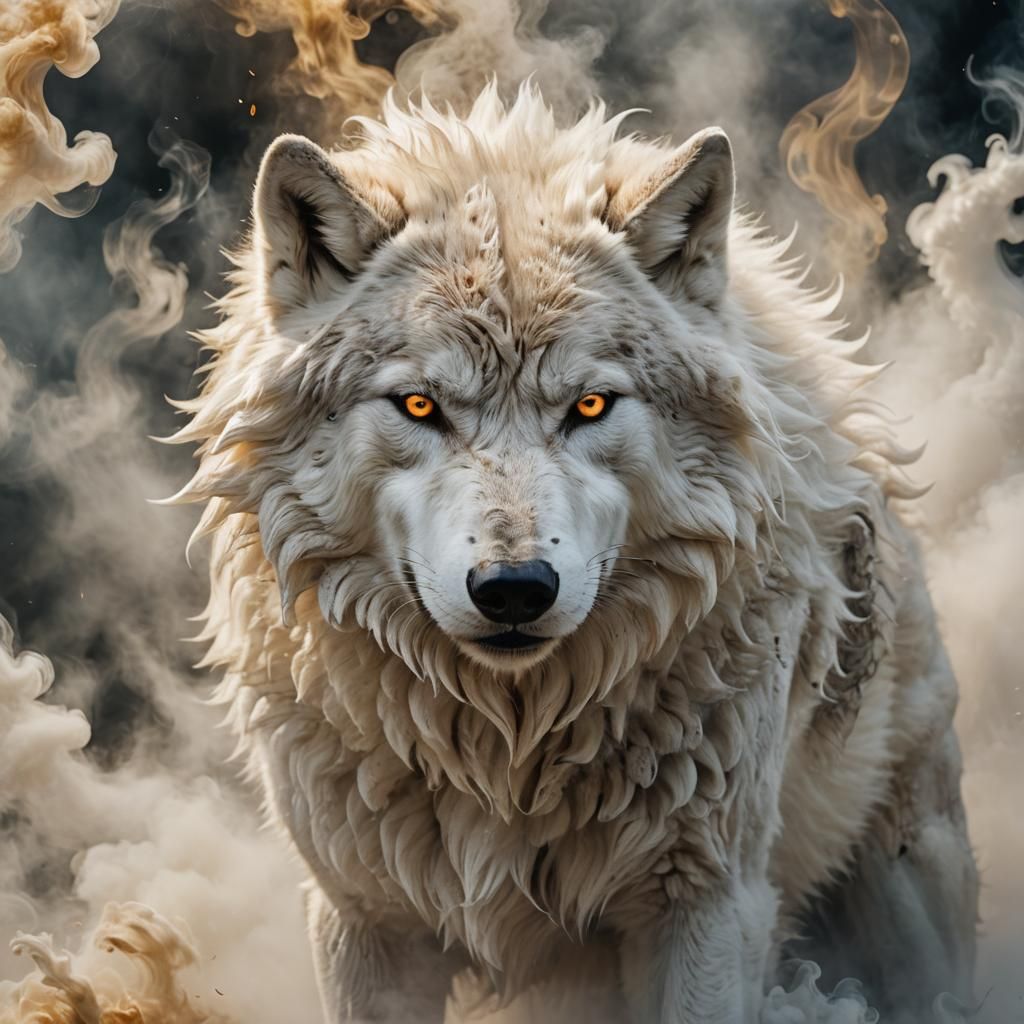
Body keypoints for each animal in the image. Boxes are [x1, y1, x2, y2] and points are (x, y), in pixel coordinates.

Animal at [172, 85, 978, 1022]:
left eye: (590, 405)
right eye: (419, 405)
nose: (515, 589)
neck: (507, 748)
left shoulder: (706, 906)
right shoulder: (362, 921)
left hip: (910, 886)